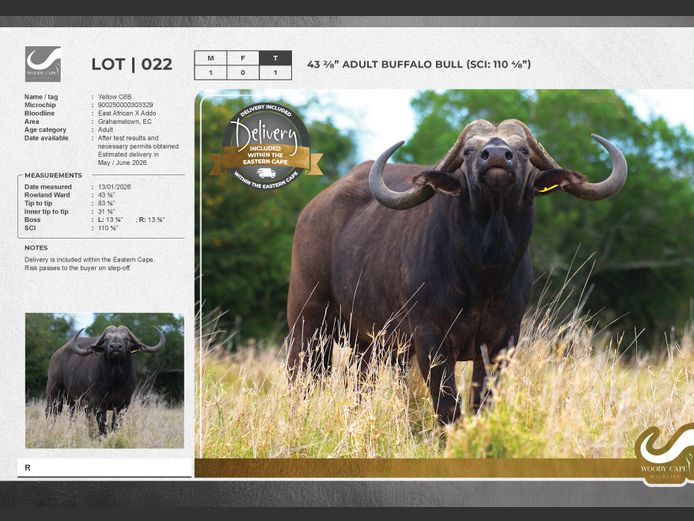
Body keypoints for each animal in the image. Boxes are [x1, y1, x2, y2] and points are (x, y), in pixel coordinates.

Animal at [287, 119, 627, 424]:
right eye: (468, 151)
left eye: (523, 150)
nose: (496, 156)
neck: (484, 274)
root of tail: (311, 210)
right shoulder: (431, 340)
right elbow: (448, 405)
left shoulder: (502, 341)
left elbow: (482, 402)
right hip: (308, 323)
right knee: (303, 377)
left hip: (370, 343)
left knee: (359, 384)